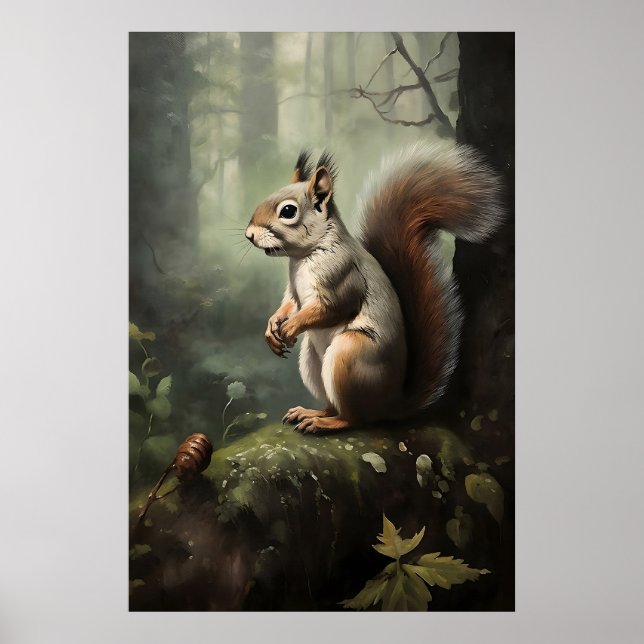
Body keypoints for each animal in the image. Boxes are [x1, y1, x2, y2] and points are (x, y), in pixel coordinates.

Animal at [244, 142, 503, 434]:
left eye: (288, 211)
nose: (249, 234)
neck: (305, 256)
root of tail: (390, 404)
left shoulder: (343, 275)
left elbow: (332, 308)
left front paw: (290, 327)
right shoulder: (293, 290)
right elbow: (289, 304)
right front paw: (273, 326)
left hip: (349, 354)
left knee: (354, 418)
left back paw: (325, 422)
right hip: (313, 362)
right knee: (334, 405)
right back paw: (311, 412)